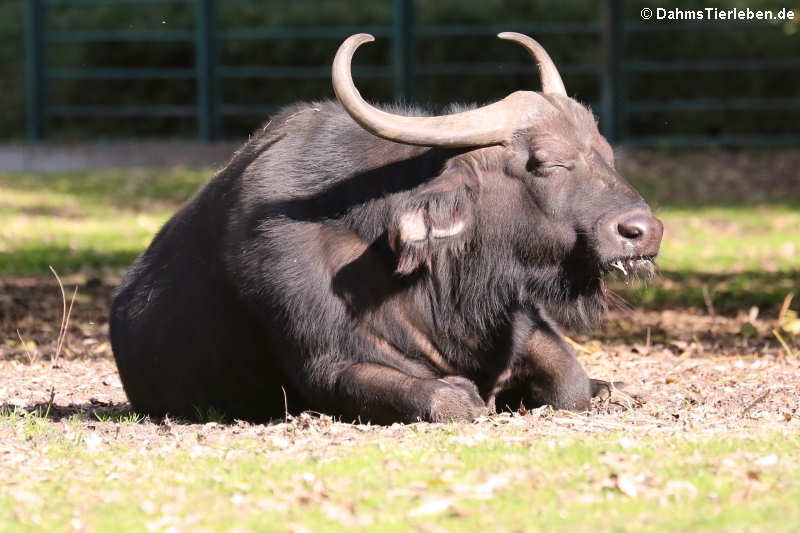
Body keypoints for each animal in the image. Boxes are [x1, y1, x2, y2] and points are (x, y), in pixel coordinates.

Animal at [111, 34, 664, 424]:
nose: (644, 230)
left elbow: (570, 382)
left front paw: (604, 387)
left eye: (607, 154)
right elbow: (448, 399)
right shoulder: (328, 367)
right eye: (546, 162)